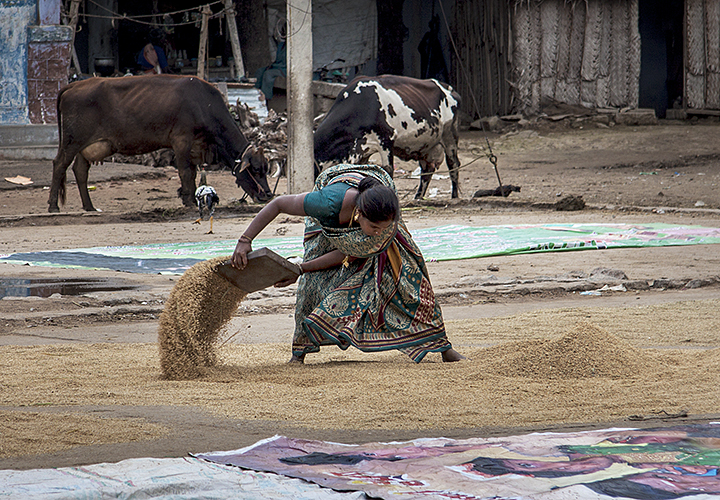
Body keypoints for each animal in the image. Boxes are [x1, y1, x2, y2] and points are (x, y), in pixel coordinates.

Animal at [47, 75, 272, 212]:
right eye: (256, 169)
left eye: (266, 169)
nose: (268, 195)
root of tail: (73, 85)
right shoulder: (181, 140)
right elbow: (185, 172)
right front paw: (189, 202)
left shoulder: (194, 146)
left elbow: (193, 173)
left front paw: (188, 197)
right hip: (72, 141)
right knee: (59, 165)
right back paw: (53, 206)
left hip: (86, 146)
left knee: (80, 170)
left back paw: (89, 206)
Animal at [316, 74, 462, 199]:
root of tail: (450, 89)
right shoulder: (362, 151)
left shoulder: (386, 141)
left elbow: (387, 170)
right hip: (426, 145)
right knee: (427, 170)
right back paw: (418, 198)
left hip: (449, 135)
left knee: (453, 164)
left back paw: (454, 197)